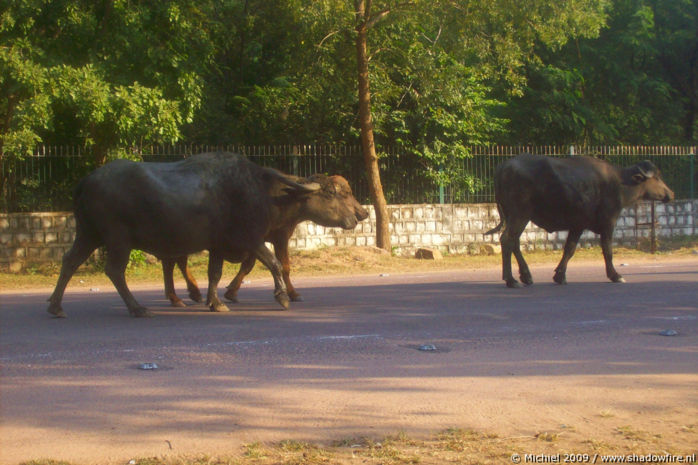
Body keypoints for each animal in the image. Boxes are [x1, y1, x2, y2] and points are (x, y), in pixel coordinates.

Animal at [45, 151, 340, 316]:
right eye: (331, 193)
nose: (352, 217)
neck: (259, 189)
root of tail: (87, 180)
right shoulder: (250, 239)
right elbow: (275, 263)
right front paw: (282, 297)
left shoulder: (219, 245)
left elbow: (215, 274)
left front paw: (215, 302)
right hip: (118, 239)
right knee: (114, 270)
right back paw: (137, 308)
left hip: (88, 233)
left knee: (69, 261)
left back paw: (56, 306)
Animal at [163, 172, 370, 306]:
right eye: (333, 193)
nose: (361, 214)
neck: (280, 198)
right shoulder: (275, 238)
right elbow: (283, 266)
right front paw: (293, 294)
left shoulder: (261, 240)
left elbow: (249, 266)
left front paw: (231, 292)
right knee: (176, 262)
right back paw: (186, 294)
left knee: (172, 262)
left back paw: (181, 296)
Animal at [484, 153, 676, 286]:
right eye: (656, 177)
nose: (671, 194)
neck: (619, 183)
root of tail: (503, 166)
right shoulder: (608, 222)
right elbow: (607, 250)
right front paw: (615, 275)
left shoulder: (578, 225)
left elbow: (569, 249)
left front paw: (560, 275)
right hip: (520, 215)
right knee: (507, 240)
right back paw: (511, 280)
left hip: (515, 217)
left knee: (514, 242)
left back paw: (526, 276)